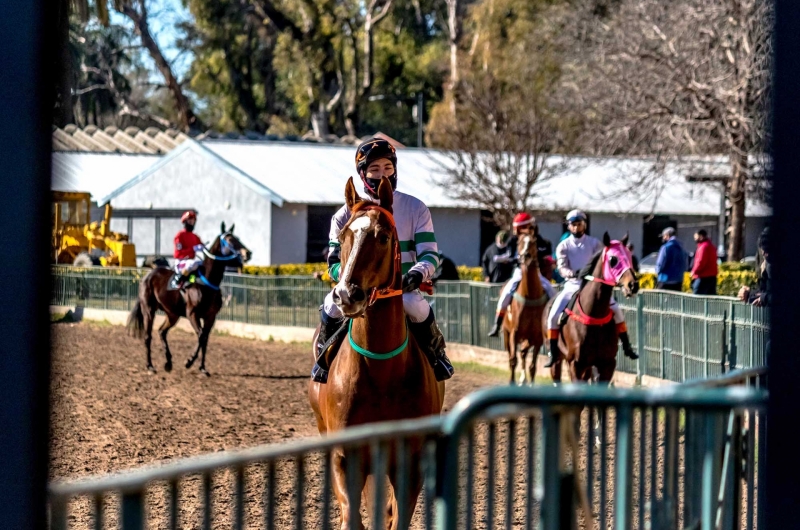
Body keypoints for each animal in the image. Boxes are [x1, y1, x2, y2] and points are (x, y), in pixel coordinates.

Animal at [126, 223, 250, 376]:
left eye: (237, 238)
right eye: (230, 240)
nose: (247, 253)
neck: (207, 282)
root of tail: (149, 274)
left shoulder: (210, 317)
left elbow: (205, 339)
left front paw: (202, 368)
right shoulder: (192, 314)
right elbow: (201, 335)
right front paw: (189, 361)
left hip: (172, 314)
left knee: (162, 331)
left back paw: (168, 362)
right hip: (148, 310)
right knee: (148, 336)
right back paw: (150, 366)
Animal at [308, 175, 444, 524]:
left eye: (383, 237)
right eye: (344, 235)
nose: (346, 295)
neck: (382, 370)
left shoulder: (410, 460)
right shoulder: (345, 457)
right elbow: (352, 516)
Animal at [500, 232, 552, 384]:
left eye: (534, 242)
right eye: (519, 242)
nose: (525, 256)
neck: (530, 296)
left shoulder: (537, 337)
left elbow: (533, 366)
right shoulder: (514, 333)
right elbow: (513, 360)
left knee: (523, 352)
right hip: (507, 333)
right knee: (513, 354)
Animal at [540, 231, 640, 384]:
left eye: (630, 257)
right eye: (613, 259)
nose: (633, 285)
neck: (594, 315)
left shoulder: (607, 364)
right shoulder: (575, 364)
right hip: (558, 358)